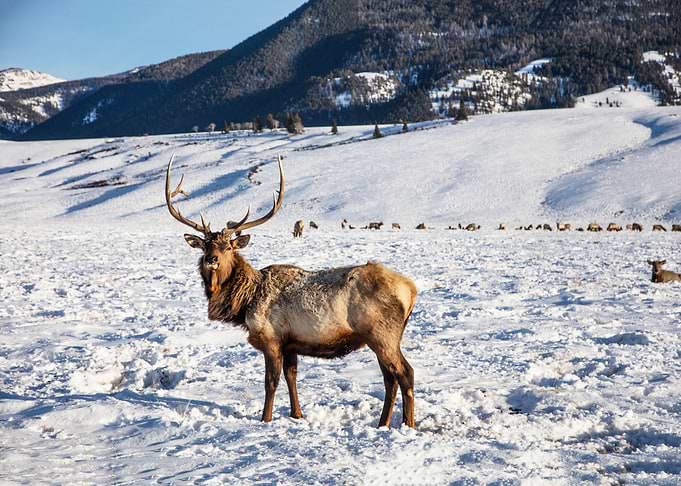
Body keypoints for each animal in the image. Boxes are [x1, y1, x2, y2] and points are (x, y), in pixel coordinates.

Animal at [165, 155, 418, 427]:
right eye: (205, 246)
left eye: (228, 247)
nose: (210, 259)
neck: (244, 302)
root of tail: (411, 290)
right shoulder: (290, 344)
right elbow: (291, 377)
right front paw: (297, 414)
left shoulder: (271, 338)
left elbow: (271, 383)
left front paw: (265, 419)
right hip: (379, 337)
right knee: (390, 378)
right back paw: (383, 423)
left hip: (382, 334)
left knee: (405, 373)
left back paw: (407, 424)